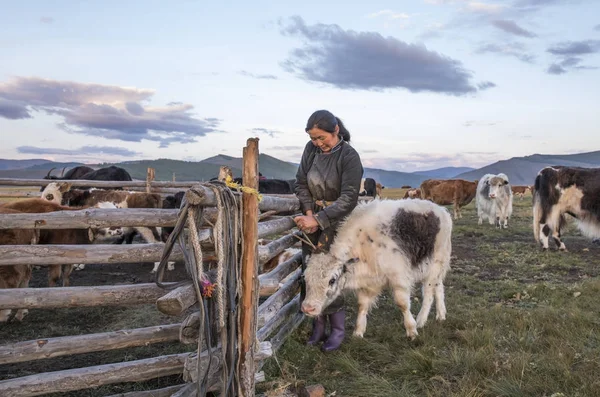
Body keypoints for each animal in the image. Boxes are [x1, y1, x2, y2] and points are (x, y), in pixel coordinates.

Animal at [302, 200, 452, 338]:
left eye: (332, 280)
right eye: (305, 279)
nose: (308, 308)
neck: (363, 245)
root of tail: (442, 210)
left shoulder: (398, 277)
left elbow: (403, 304)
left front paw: (412, 331)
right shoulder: (367, 283)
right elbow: (362, 305)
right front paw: (358, 332)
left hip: (435, 263)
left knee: (428, 293)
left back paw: (421, 320)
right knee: (439, 287)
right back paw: (441, 315)